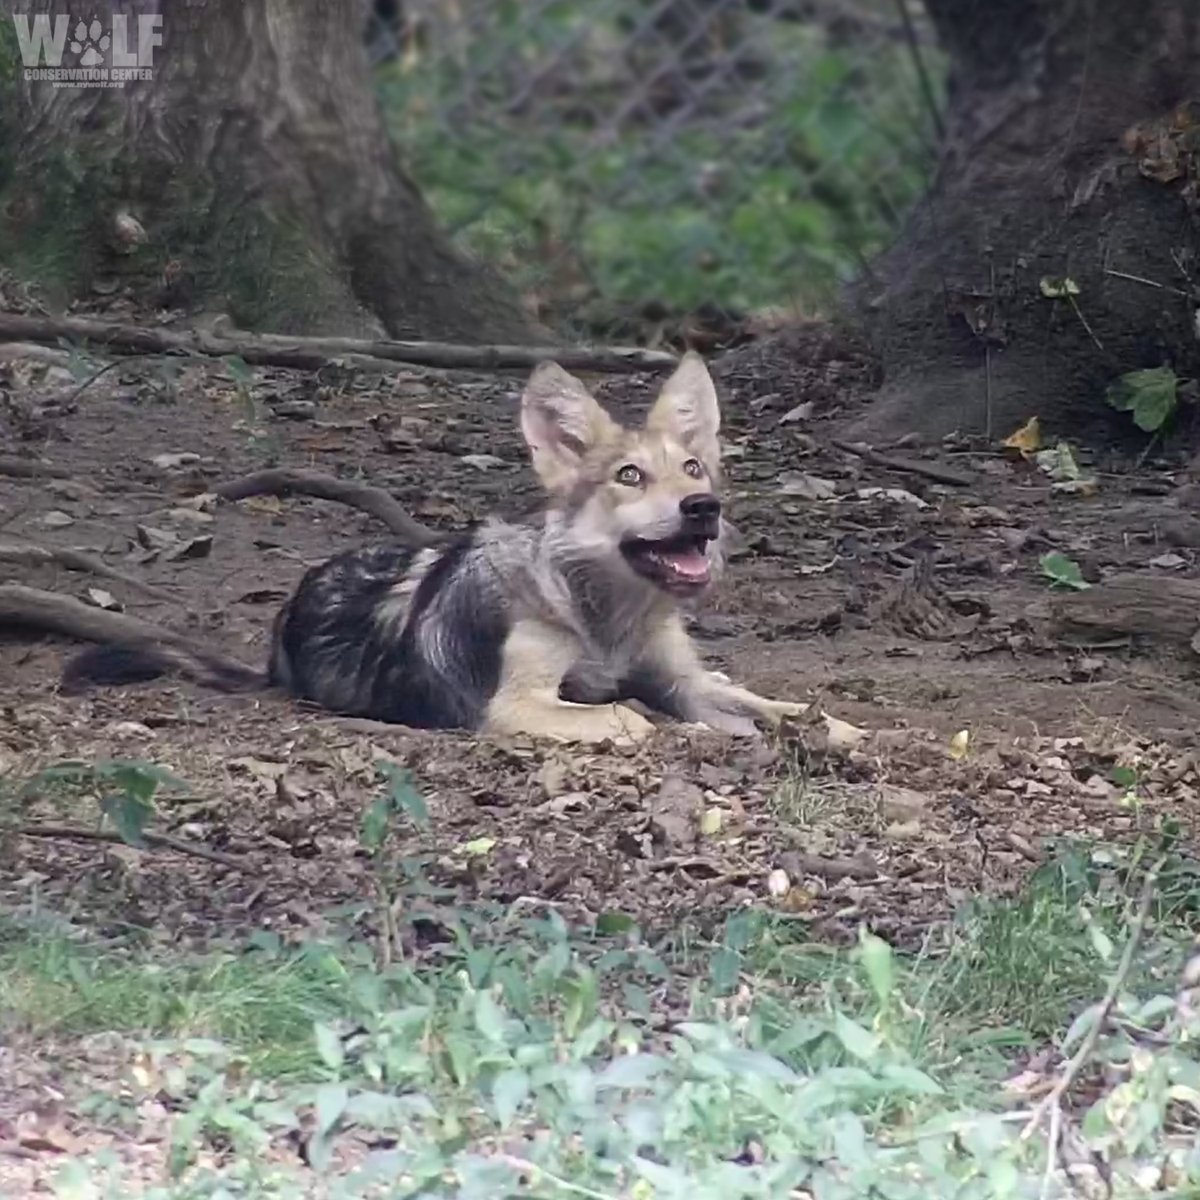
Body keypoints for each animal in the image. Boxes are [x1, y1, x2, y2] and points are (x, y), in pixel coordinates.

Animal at [63, 353, 809, 742]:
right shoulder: (509, 706)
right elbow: (631, 715)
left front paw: (821, 732)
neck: (606, 617)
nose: (704, 509)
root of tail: (281, 627)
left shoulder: (684, 680)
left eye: (693, 471)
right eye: (630, 476)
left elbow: (779, 707)